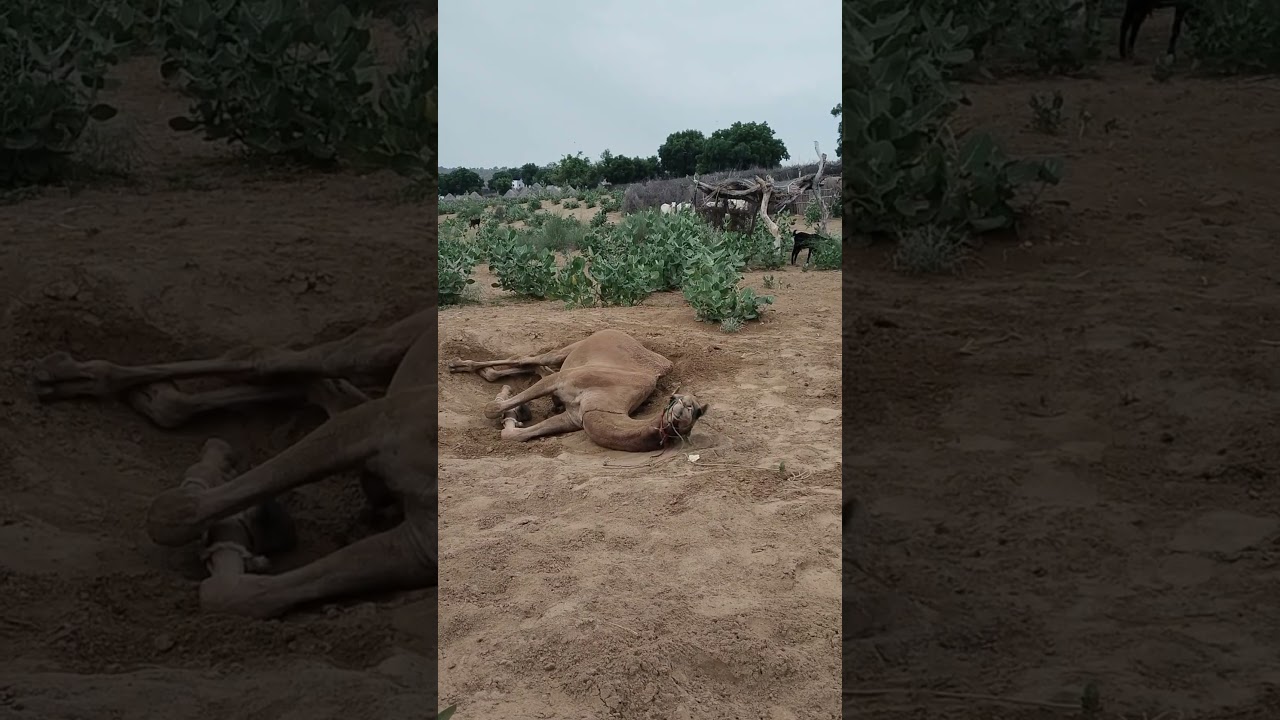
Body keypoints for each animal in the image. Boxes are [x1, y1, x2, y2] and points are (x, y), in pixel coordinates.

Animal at [29, 310, 436, 619]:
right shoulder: (377, 426)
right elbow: (172, 515)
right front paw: (217, 494)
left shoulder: (420, 547)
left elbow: (241, 597)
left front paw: (235, 547)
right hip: (378, 353)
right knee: (282, 360)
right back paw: (67, 376)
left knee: (315, 388)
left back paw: (151, 396)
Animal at [448, 329, 708, 451]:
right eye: (678, 399)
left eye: (695, 411)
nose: (684, 409)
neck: (609, 402)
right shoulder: (566, 380)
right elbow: (491, 408)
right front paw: (509, 408)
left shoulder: (573, 417)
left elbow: (516, 435)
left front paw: (513, 418)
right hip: (575, 349)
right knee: (528, 359)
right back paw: (459, 364)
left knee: (534, 365)